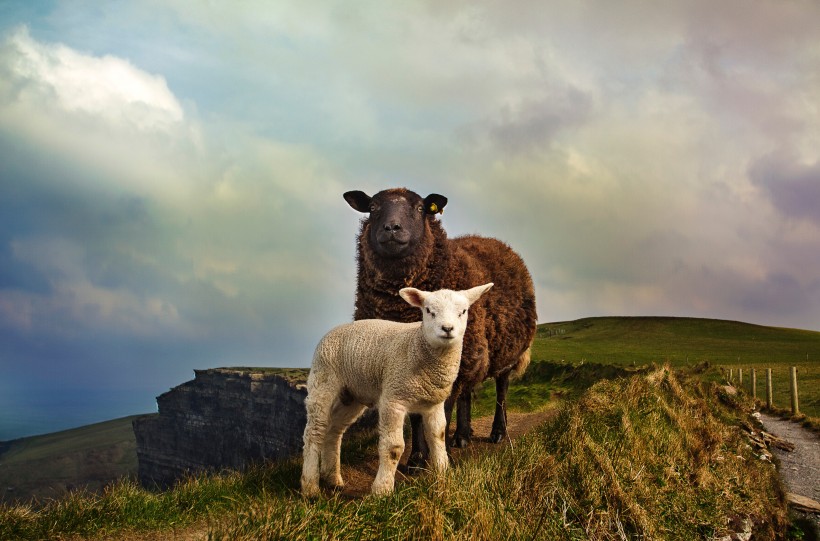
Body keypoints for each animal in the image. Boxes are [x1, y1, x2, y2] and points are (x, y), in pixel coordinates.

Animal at [302, 280, 494, 496]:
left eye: (463, 311)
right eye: (429, 311)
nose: (447, 328)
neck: (417, 345)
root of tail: (333, 330)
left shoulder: (434, 403)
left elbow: (438, 436)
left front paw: (443, 475)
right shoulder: (393, 398)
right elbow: (394, 447)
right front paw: (382, 490)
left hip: (351, 395)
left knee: (334, 431)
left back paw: (333, 479)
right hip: (323, 380)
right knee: (314, 431)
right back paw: (310, 487)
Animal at [342, 188, 540, 466]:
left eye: (420, 208)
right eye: (372, 207)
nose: (391, 228)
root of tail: (494, 241)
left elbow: (442, 414)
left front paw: (438, 458)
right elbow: (417, 416)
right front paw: (416, 459)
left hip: (504, 352)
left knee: (501, 391)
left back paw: (497, 432)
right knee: (468, 392)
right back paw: (462, 436)